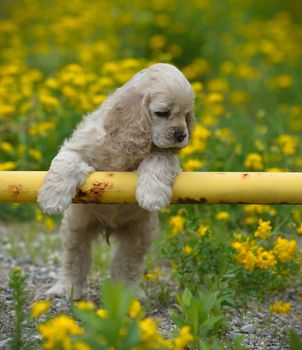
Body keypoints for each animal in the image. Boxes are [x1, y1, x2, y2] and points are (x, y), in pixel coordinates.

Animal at [37, 62, 195, 298]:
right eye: (162, 113)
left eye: (186, 115)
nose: (181, 135)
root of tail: (109, 227)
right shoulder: (79, 148)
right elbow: (65, 162)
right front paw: (51, 198)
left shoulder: (166, 155)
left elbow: (158, 159)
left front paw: (152, 195)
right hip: (77, 226)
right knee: (75, 256)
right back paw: (66, 288)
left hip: (139, 233)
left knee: (127, 263)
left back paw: (128, 294)